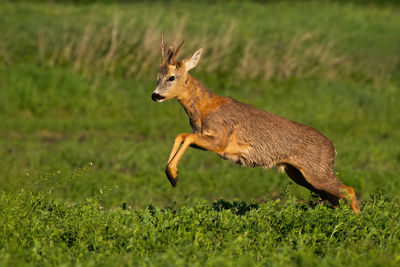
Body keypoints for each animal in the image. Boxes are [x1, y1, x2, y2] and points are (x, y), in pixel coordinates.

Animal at [152, 36, 360, 216]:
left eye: (171, 77)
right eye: (157, 77)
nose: (155, 95)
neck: (204, 110)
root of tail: (333, 150)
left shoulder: (220, 140)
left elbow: (187, 136)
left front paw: (173, 175)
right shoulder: (205, 138)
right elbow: (181, 135)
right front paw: (171, 174)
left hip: (316, 171)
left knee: (348, 190)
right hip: (299, 174)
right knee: (334, 198)